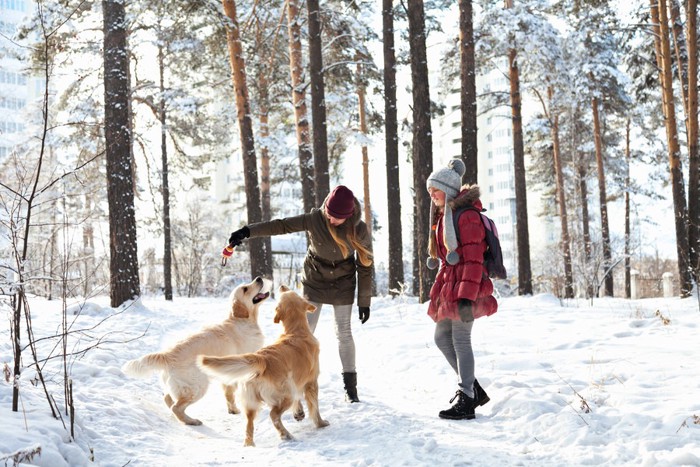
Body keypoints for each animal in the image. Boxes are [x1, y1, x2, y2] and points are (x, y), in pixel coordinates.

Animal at [197, 284, 328, 448]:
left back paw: (250, 445)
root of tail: (261, 359)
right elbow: (314, 407)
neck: (295, 331)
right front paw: (321, 423)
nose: (282, 285)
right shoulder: (311, 382)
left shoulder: (297, 381)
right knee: (274, 415)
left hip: (252, 402)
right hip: (286, 393)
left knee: (249, 426)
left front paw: (299, 413)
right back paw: (286, 435)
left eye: (286, 291)